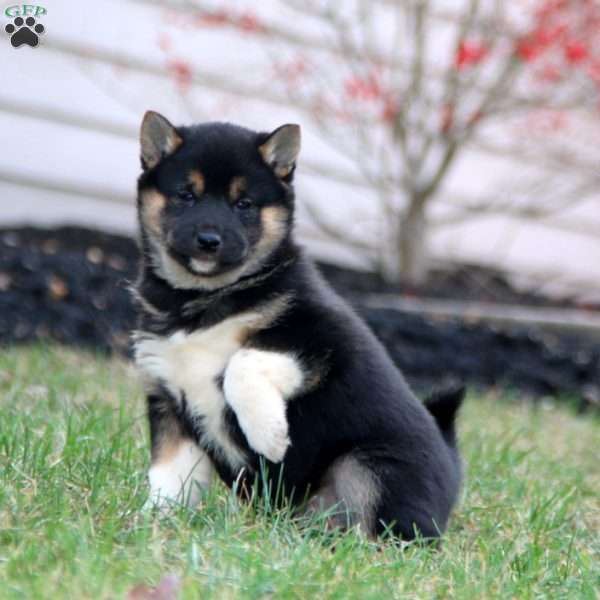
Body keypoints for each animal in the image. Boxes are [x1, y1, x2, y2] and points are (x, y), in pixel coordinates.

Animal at [132, 110, 464, 540]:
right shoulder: (170, 401)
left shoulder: (323, 340)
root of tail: (452, 464)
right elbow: (169, 476)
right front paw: (153, 521)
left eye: (244, 204)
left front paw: (268, 435)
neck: (202, 297)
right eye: (186, 195)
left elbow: (243, 361)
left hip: (368, 466)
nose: (208, 240)